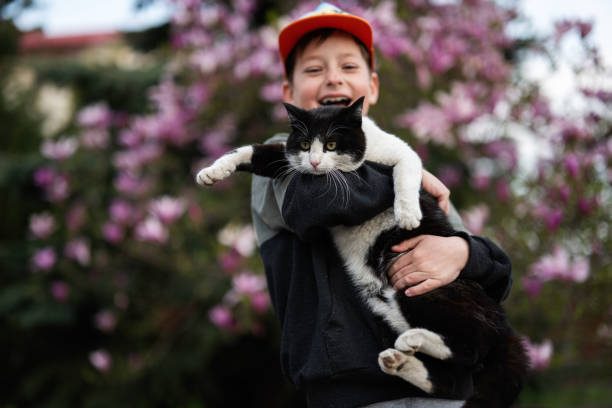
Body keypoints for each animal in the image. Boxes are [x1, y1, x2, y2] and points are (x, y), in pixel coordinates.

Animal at [195, 97, 524, 406]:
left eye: (331, 144)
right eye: (305, 144)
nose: (314, 163)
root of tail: (503, 321)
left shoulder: (402, 152)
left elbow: (406, 172)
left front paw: (407, 214)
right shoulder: (289, 158)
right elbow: (256, 151)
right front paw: (211, 172)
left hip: (425, 289)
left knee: (470, 348)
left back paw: (414, 340)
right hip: (388, 305)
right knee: (450, 375)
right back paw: (399, 360)